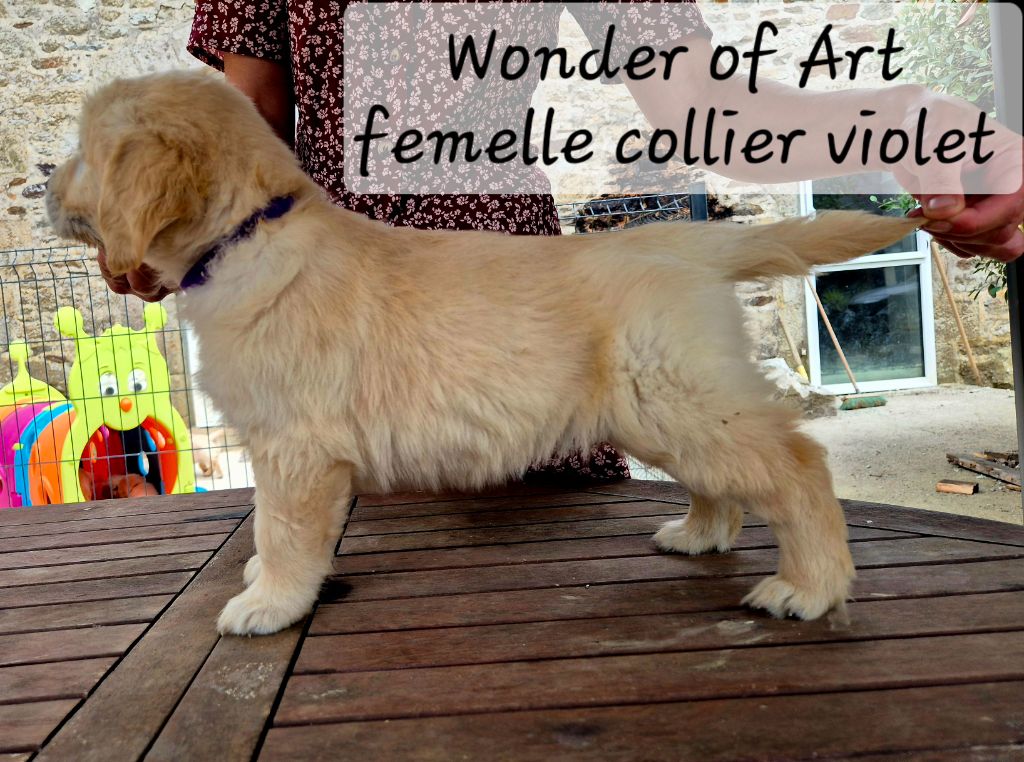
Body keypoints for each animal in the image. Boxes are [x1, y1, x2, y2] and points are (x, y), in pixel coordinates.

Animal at [46, 71, 920, 635]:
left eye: (85, 153)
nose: (45, 188)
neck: (247, 236)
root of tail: (688, 241)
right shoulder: (278, 445)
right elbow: (268, 525)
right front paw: (267, 584)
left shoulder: (296, 447)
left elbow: (282, 530)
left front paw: (269, 603)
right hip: (667, 406)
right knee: (727, 478)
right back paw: (700, 533)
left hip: (676, 398)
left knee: (798, 466)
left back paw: (808, 587)